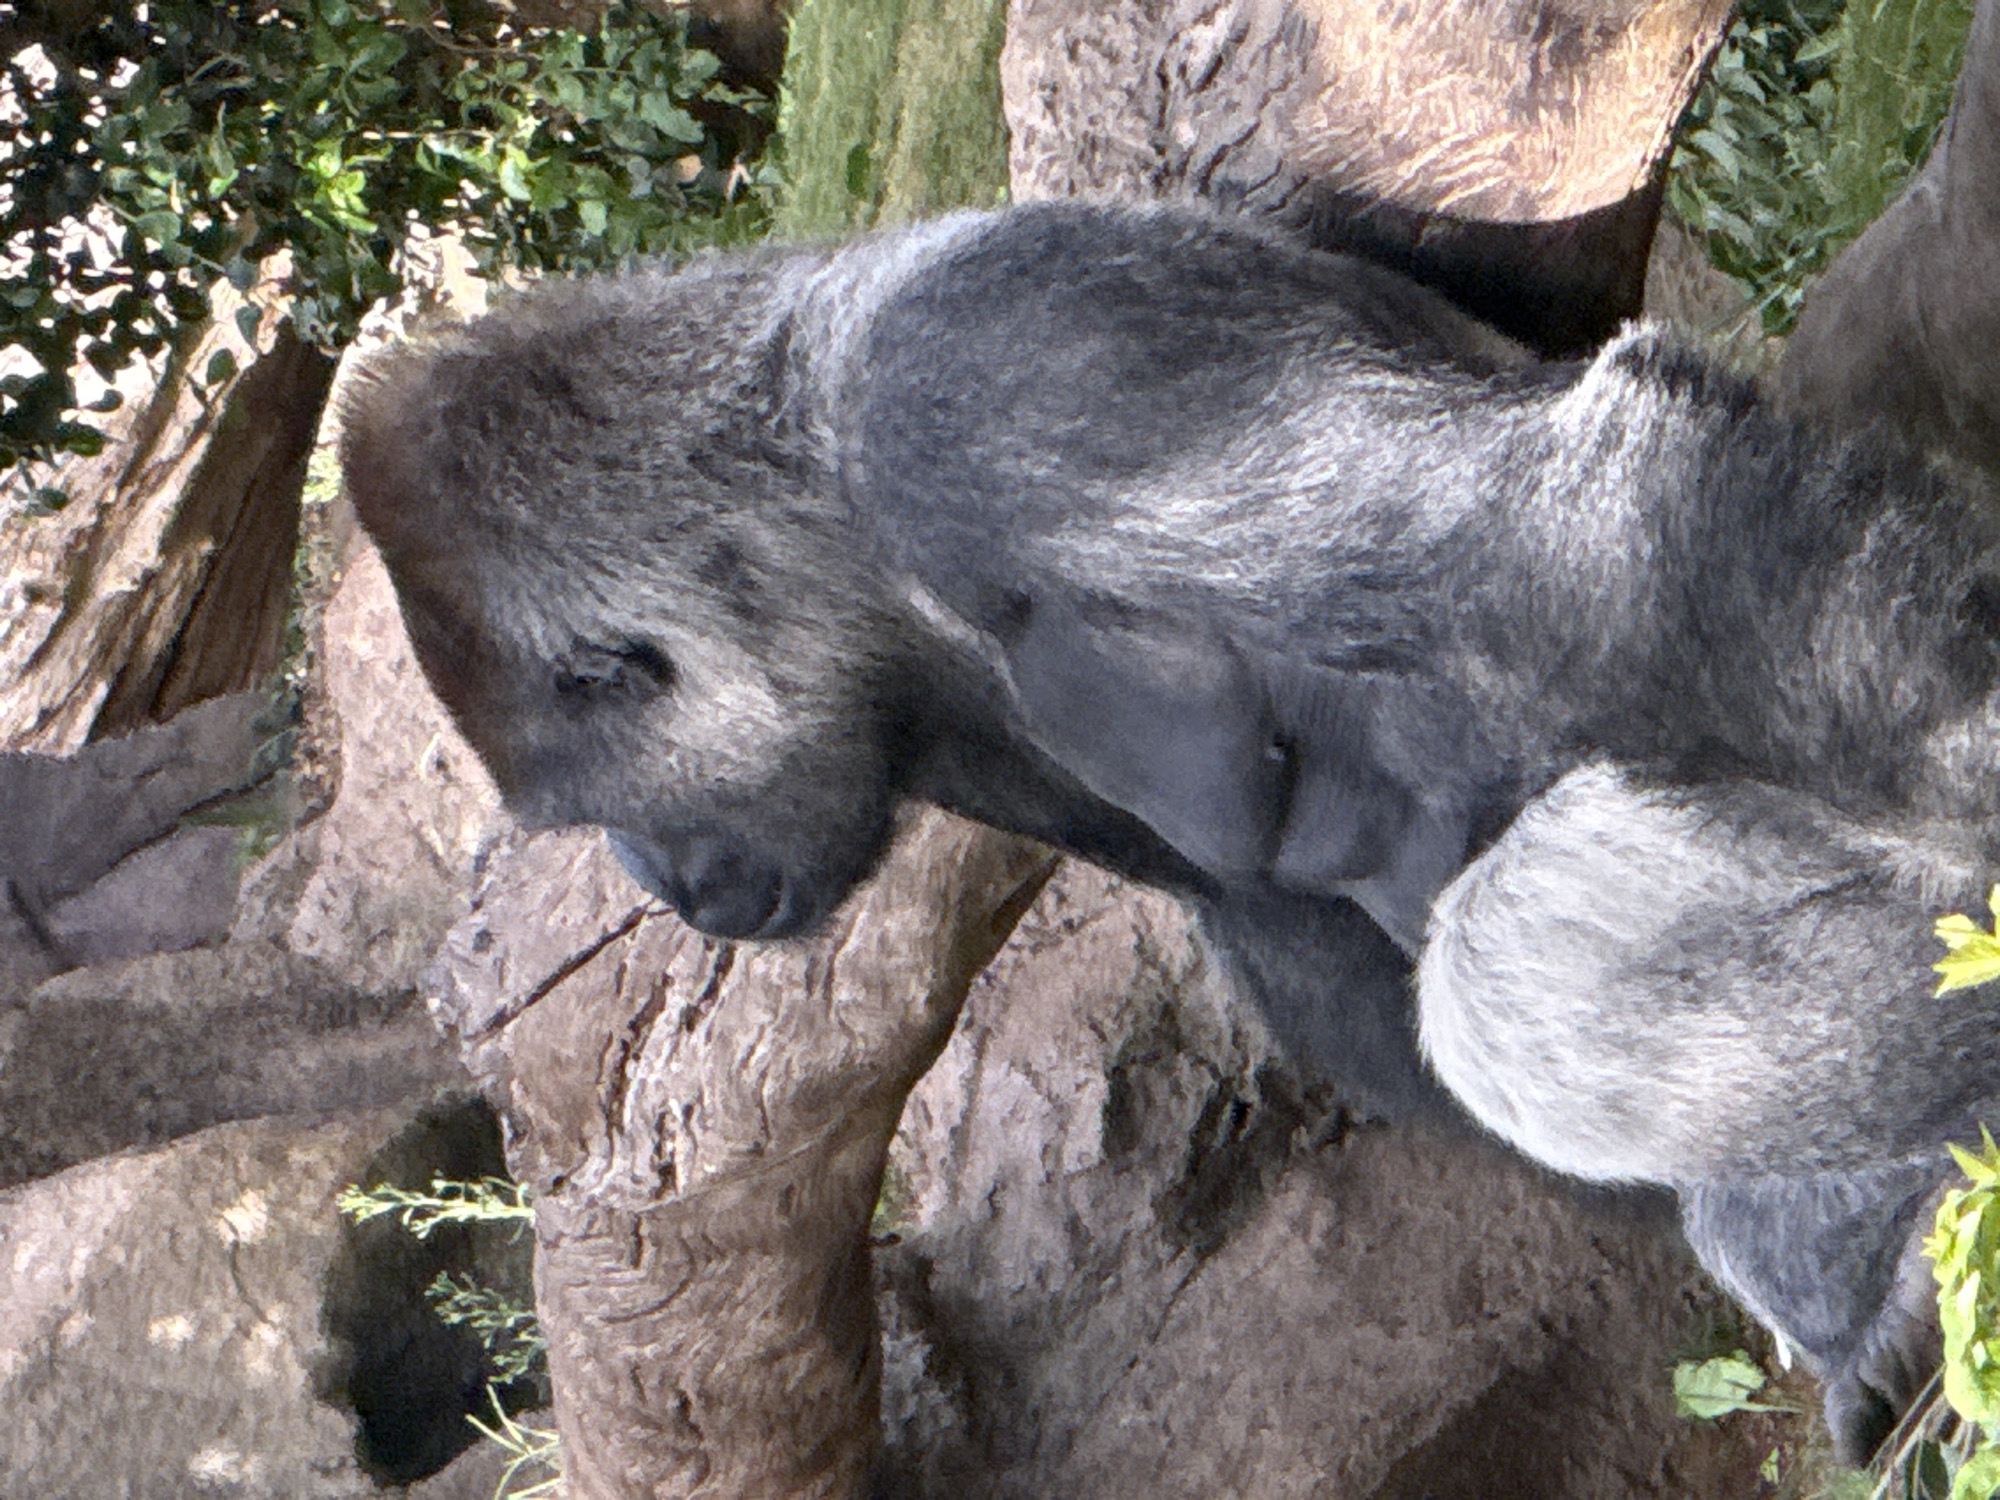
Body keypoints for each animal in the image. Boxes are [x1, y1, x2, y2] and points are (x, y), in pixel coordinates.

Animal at [341, 199, 2000, 1461]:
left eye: (600, 811)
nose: (671, 891)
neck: (819, 509)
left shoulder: (983, 364)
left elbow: (1577, 542)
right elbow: (1288, 929)